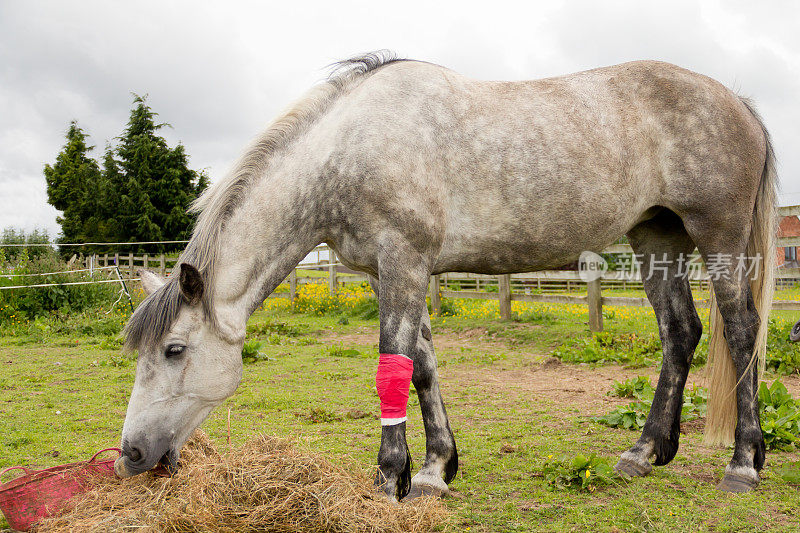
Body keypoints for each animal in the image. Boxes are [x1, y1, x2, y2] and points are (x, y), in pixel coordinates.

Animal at [115, 54, 780, 498]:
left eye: (175, 350)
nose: (131, 454)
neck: (348, 149)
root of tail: (738, 102)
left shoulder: (403, 261)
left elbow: (392, 361)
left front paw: (391, 477)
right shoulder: (391, 271)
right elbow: (422, 365)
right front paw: (436, 469)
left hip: (719, 240)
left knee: (741, 331)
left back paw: (744, 463)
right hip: (655, 237)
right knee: (680, 332)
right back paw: (644, 453)